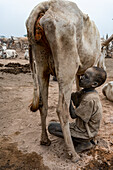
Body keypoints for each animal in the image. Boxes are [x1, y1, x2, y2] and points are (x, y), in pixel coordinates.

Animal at [26, 0, 102, 162]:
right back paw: (73, 154)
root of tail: (46, 5)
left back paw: (45, 140)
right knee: (61, 109)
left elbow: (80, 86)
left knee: (43, 104)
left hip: (40, 61)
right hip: (67, 62)